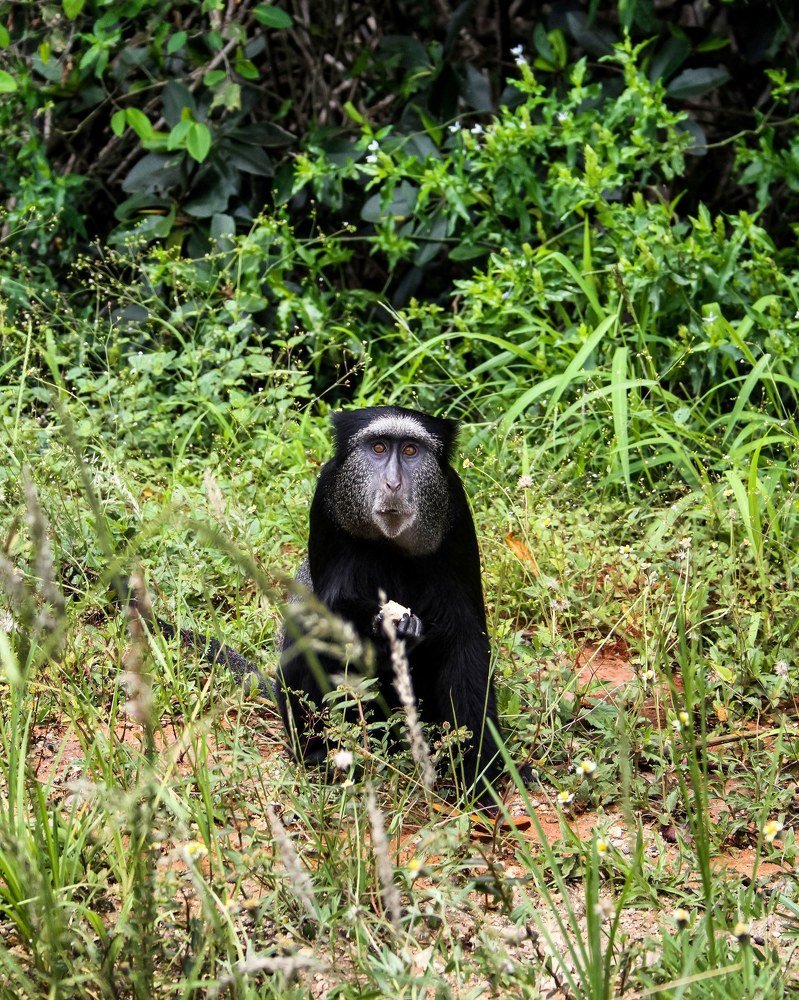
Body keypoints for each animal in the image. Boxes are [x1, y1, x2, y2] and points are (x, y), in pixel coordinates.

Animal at [276, 405, 504, 801]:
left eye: (410, 451)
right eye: (379, 448)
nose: (393, 484)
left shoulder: (456, 515)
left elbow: (465, 637)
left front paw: (482, 775)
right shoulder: (326, 504)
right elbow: (329, 614)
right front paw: (385, 626)